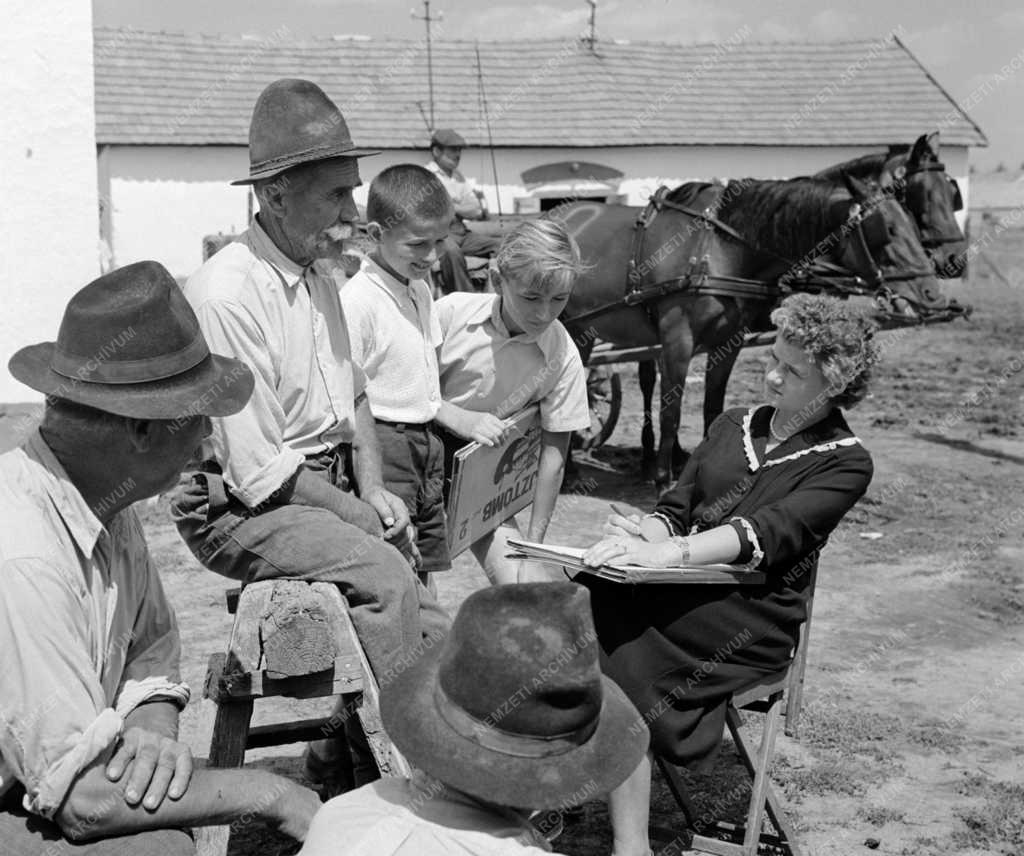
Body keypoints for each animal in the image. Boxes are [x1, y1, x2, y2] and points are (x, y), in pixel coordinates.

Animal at [557, 170, 946, 487]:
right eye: (887, 229)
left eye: (913, 225)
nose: (933, 294)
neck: (720, 249)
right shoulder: (677, 340)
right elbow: (672, 413)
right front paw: (664, 481)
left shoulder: (727, 341)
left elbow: (712, 407)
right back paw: (572, 473)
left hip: (584, 333)